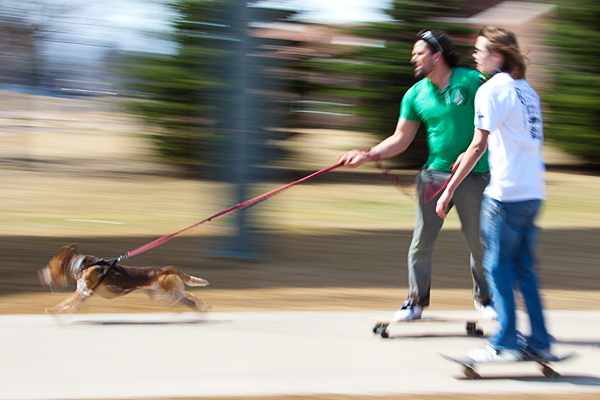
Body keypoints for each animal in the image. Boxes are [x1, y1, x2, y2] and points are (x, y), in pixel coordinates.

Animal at [38, 245, 211, 314]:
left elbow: (65, 302)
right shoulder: (85, 294)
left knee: (191, 300)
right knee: (191, 297)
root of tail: (164, 269)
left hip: (170, 294)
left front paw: (53, 311)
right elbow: (71, 305)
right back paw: (204, 307)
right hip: (169, 293)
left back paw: (202, 309)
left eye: (49, 266)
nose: (39, 273)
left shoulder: (83, 291)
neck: (80, 266)